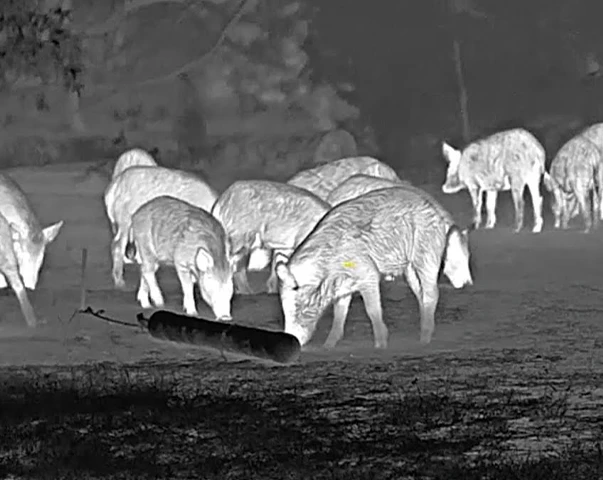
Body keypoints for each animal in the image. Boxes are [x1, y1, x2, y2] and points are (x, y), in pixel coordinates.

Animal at [275, 186, 473, 349]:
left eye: (296, 306)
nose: (293, 340)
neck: (326, 272)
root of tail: (437, 210)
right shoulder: (343, 286)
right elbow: (340, 313)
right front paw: (328, 346)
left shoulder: (367, 273)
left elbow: (372, 309)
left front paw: (380, 345)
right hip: (409, 268)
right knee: (420, 294)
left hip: (426, 253)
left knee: (432, 293)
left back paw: (423, 341)